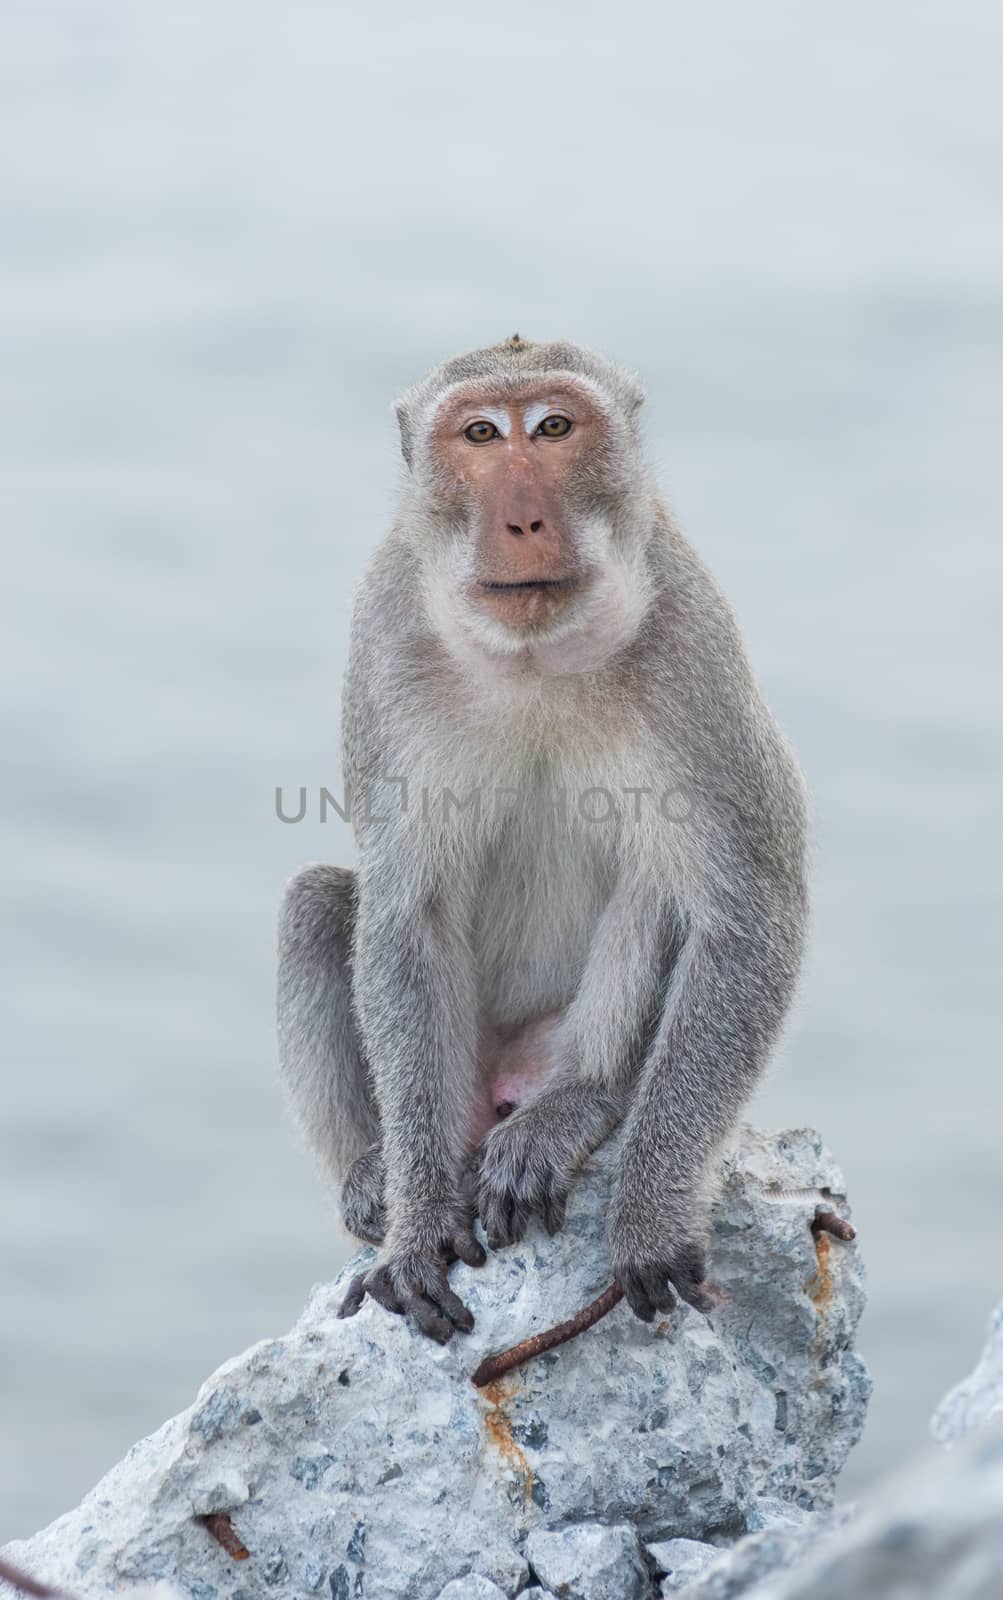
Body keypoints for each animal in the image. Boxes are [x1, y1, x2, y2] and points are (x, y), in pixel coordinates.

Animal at [276, 337, 809, 1350]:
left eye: (554, 428)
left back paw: (573, 1107)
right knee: (320, 902)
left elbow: (748, 915)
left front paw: (647, 1216)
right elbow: (405, 913)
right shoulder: (385, 636)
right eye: (482, 435)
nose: (523, 517)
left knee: (657, 889)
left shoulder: (693, 639)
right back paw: (376, 1172)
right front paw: (417, 1224)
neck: (532, 657)